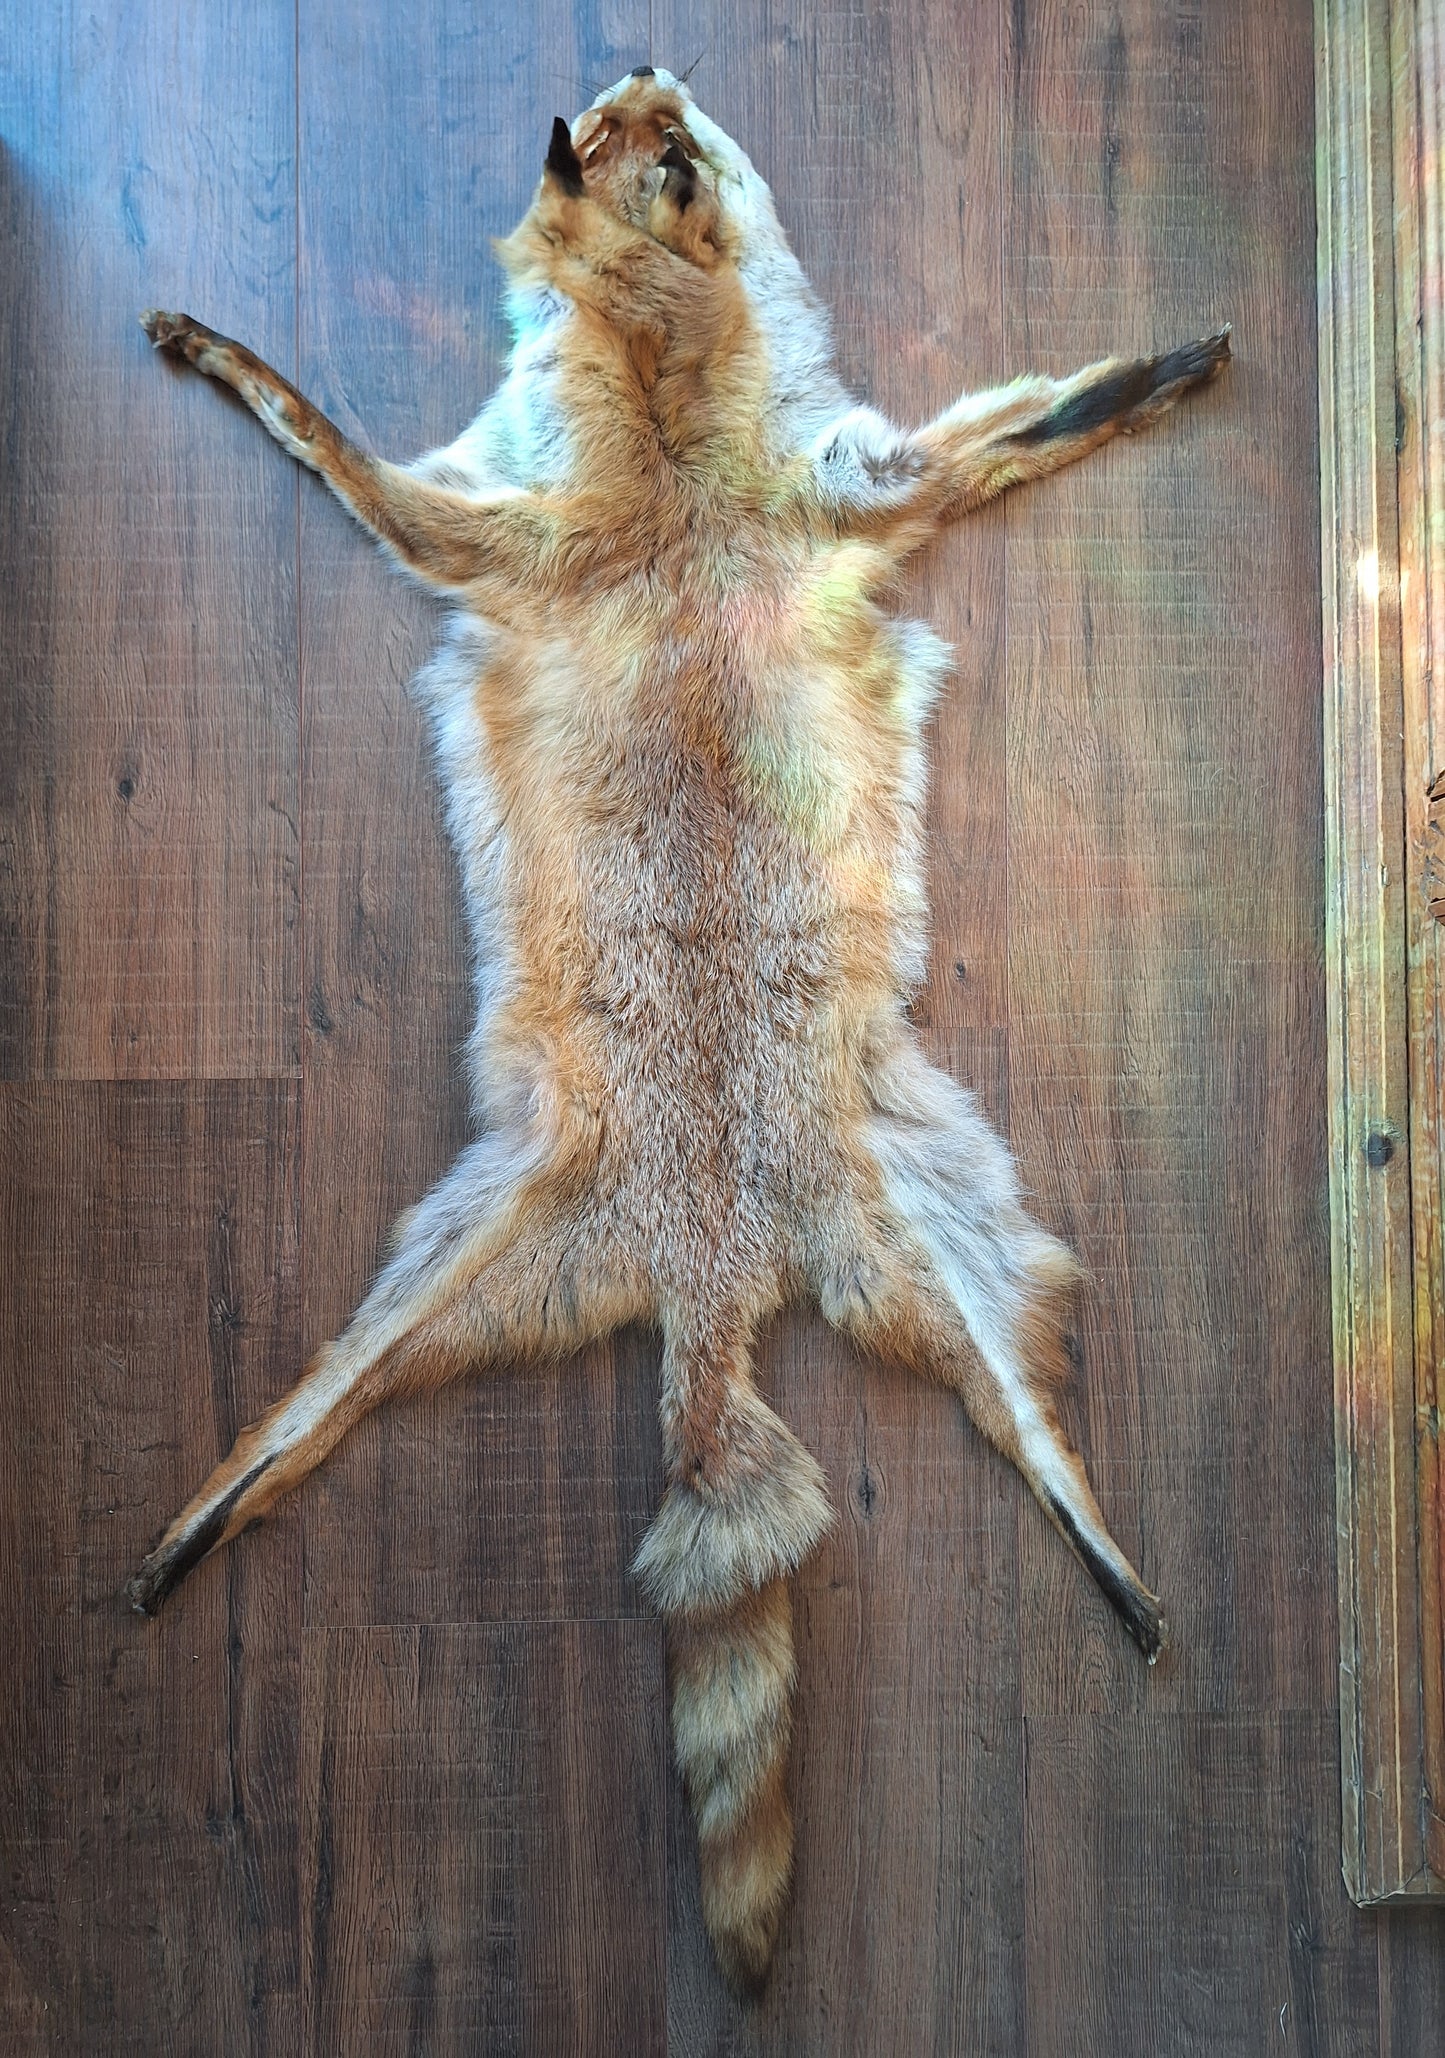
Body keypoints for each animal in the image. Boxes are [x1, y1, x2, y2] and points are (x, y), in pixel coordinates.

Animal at [127, 65, 1229, 1993]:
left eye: (665, 141)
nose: (638, 69)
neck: (666, 445)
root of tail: (712, 1279)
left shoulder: (842, 491)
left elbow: (1048, 413)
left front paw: (1165, 366)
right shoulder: (506, 533)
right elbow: (324, 433)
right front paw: (232, 356)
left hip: (910, 1265)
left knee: (1035, 1441)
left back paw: (1114, 1566)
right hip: (466, 1287)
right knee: (295, 1431)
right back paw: (190, 1529)